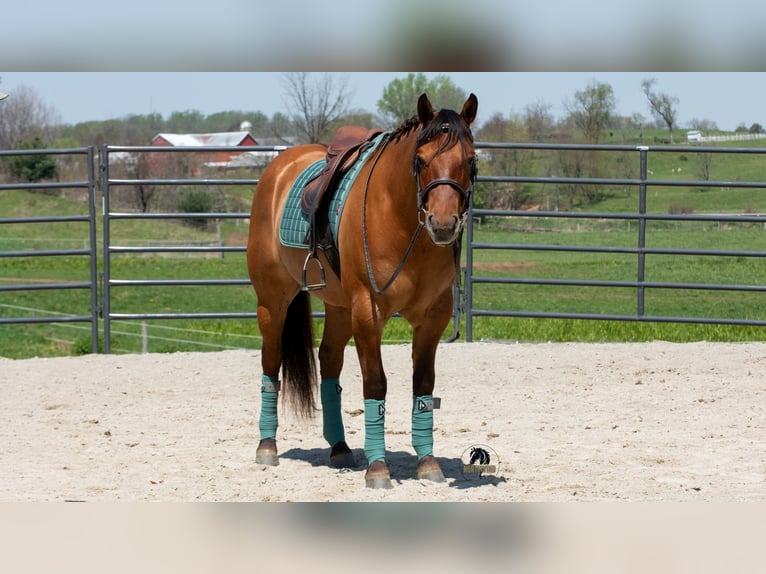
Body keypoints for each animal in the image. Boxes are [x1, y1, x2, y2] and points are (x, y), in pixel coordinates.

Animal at [246, 93, 478, 488]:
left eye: (471, 160)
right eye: (420, 160)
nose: (443, 224)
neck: (400, 218)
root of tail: (278, 167)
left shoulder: (433, 317)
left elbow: (423, 386)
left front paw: (427, 463)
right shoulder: (368, 314)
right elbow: (375, 385)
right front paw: (378, 468)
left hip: (340, 307)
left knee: (329, 361)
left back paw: (339, 447)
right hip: (273, 303)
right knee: (271, 363)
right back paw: (267, 447)